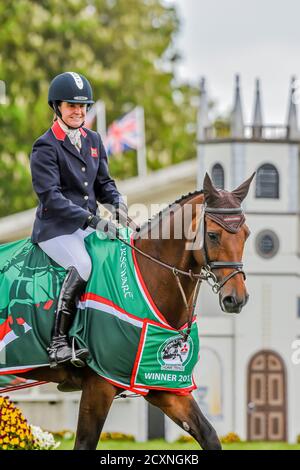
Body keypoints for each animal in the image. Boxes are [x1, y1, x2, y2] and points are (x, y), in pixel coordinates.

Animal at [16, 172, 254, 448]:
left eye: (246, 234)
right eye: (214, 235)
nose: (237, 299)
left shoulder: (163, 385)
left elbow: (209, 434)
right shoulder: (98, 387)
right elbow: (85, 442)